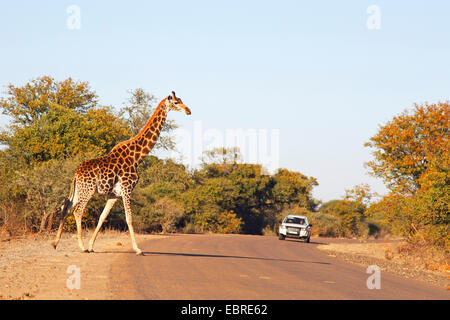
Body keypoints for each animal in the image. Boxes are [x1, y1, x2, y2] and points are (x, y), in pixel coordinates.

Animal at [51, 90, 192, 255]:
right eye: (176, 102)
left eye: (181, 100)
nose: (188, 111)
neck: (137, 157)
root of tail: (76, 173)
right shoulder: (127, 189)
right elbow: (129, 219)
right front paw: (138, 249)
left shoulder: (114, 195)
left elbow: (102, 217)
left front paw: (92, 246)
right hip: (88, 190)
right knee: (77, 211)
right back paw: (81, 247)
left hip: (79, 190)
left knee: (66, 207)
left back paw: (55, 243)